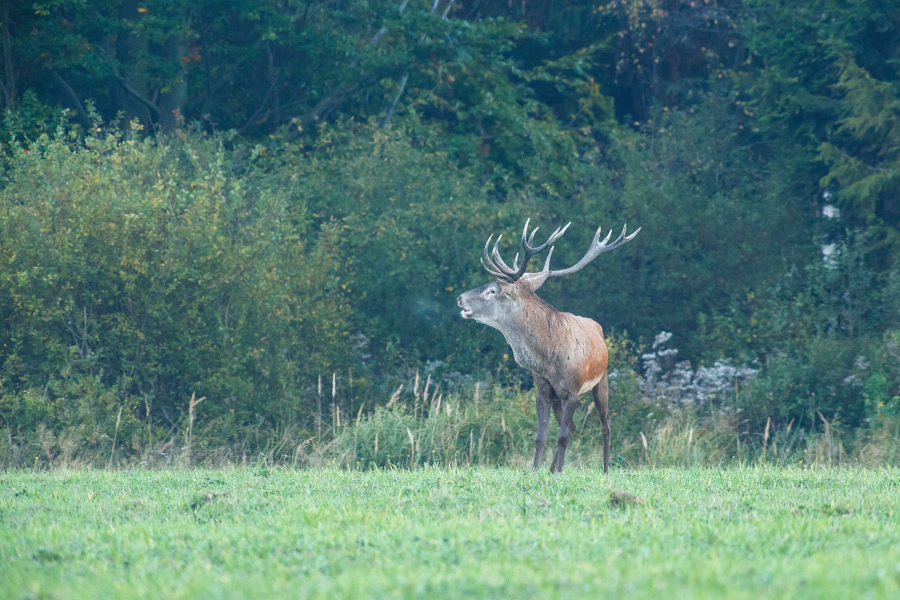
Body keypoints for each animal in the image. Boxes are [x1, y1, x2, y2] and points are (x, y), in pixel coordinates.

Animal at [458, 219, 640, 474]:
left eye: (491, 291)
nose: (459, 298)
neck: (549, 359)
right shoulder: (544, 390)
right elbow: (541, 437)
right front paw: (536, 470)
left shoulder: (572, 392)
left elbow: (562, 436)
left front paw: (561, 472)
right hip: (559, 397)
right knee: (572, 427)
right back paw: (552, 469)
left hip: (601, 380)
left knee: (605, 425)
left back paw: (604, 469)